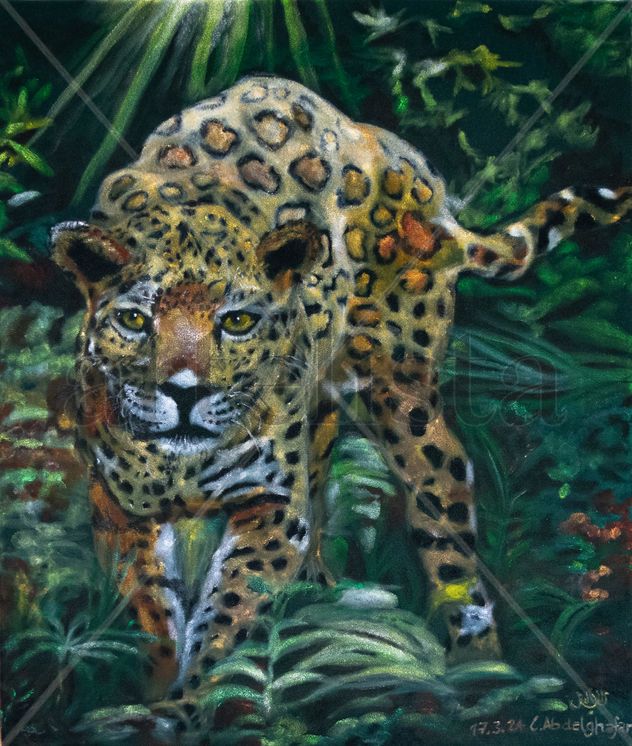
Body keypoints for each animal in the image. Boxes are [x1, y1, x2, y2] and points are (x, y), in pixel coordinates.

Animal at [51, 74, 631, 732]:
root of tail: (398, 155)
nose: (184, 390)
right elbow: (152, 617)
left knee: (445, 497)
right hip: (325, 406)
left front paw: (190, 705)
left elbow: (225, 618)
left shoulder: (273, 506)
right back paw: (320, 593)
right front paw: (151, 695)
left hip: (401, 392)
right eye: (133, 320)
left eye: (237, 322)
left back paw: (478, 668)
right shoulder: (120, 510)